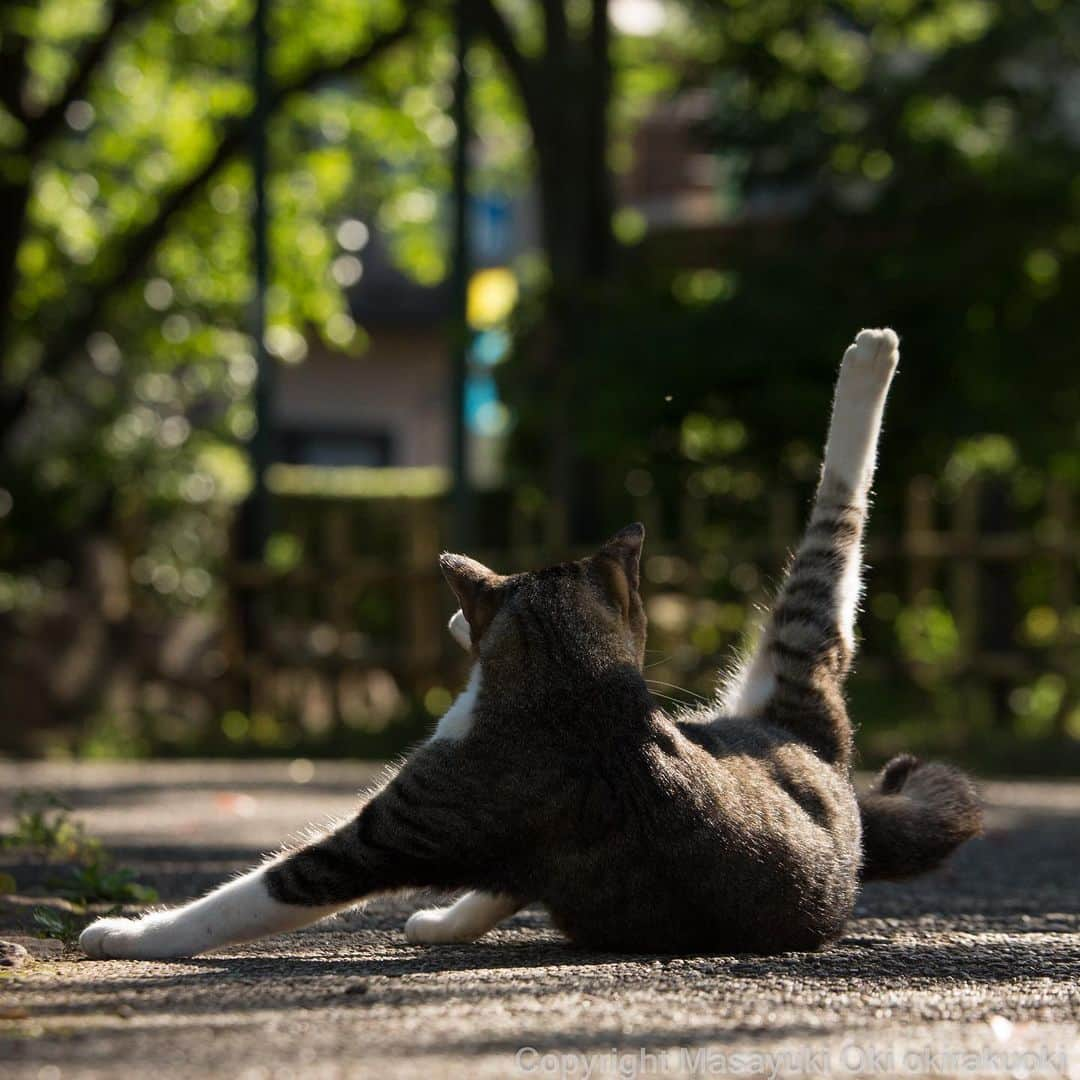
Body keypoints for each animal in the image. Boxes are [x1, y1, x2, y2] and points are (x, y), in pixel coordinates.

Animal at [79, 328, 984, 963]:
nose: (455, 624)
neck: (579, 686)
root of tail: (821, 750)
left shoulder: (397, 825)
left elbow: (256, 891)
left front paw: (131, 934)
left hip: (797, 642)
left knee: (834, 535)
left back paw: (872, 355)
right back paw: (444, 920)